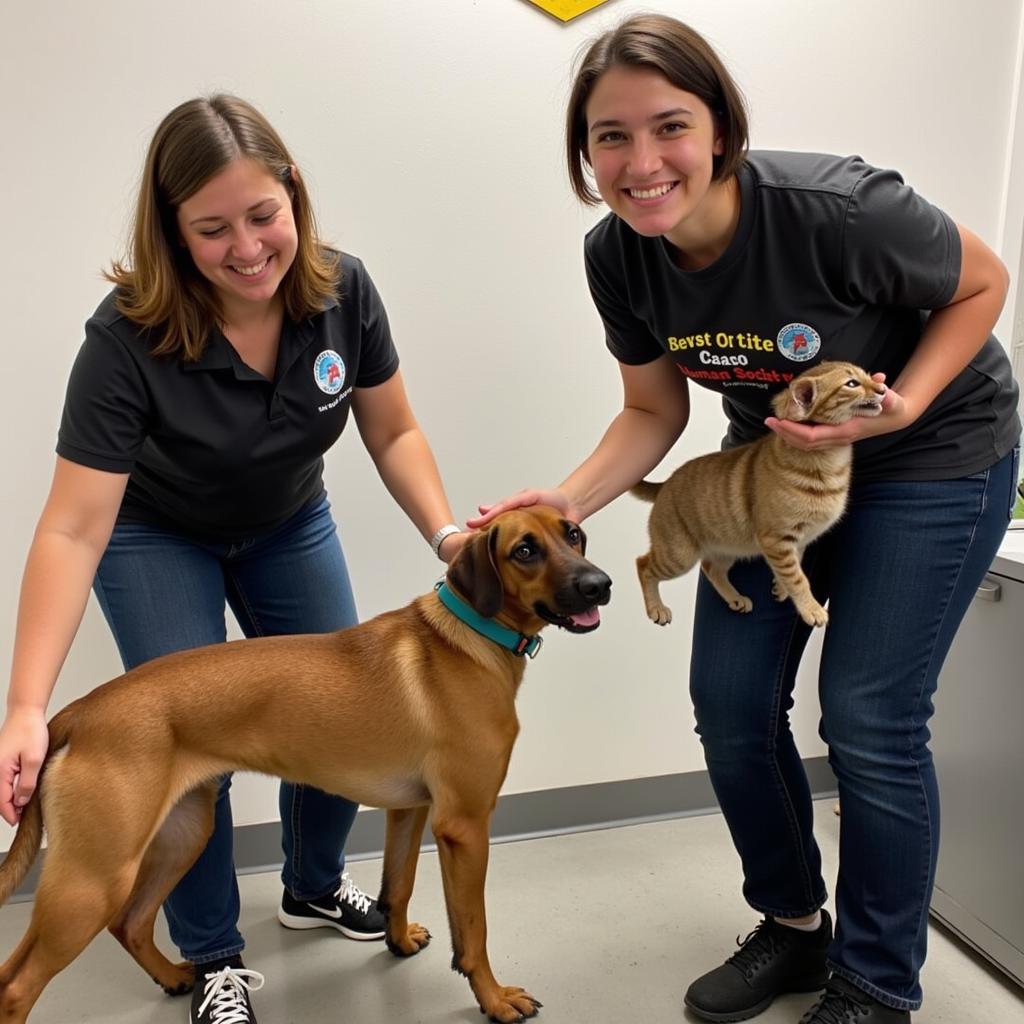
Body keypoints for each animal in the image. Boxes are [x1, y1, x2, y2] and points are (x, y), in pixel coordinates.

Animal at [0, 509, 606, 1024]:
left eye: (573, 534)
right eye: (524, 550)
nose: (600, 584)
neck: (469, 637)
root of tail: (78, 712)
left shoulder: (410, 812)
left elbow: (399, 886)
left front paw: (398, 940)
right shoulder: (465, 826)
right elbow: (474, 932)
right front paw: (494, 1000)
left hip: (180, 835)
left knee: (126, 924)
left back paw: (173, 976)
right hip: (92, 877)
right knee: (18, 986)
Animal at [626, 364, 884, 626]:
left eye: (866, 375)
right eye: (852, 384)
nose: (883, 388)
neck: (830, 465)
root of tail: (664, 484)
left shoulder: (798, 540)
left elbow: (795, 567)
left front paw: (781, 588)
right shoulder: (776, 539)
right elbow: (798, 578)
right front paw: (811, 609)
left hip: (727, 547)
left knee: (711, 568)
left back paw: (735, 598)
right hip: (678, 554)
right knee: (643, 565)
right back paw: (656, 608)